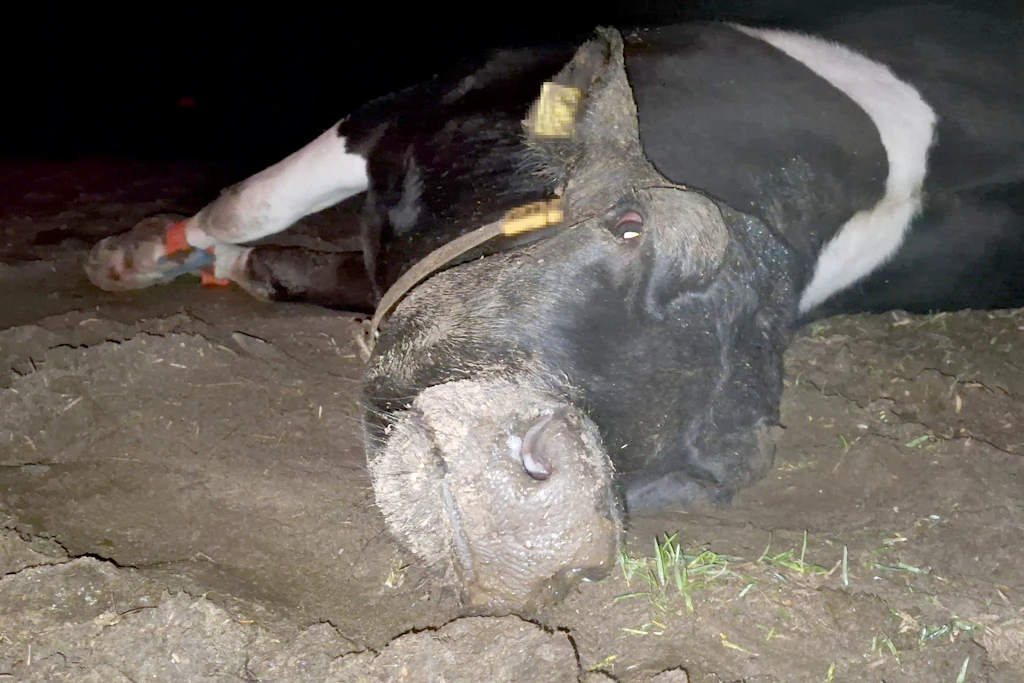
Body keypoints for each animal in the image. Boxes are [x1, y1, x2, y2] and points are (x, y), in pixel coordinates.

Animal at [85, 4, 1023, 610]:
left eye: (704, 480)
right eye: (631, 226)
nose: (565, 529)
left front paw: (228, 267)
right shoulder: (411, 104)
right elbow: (251, 202)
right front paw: (145, 254)